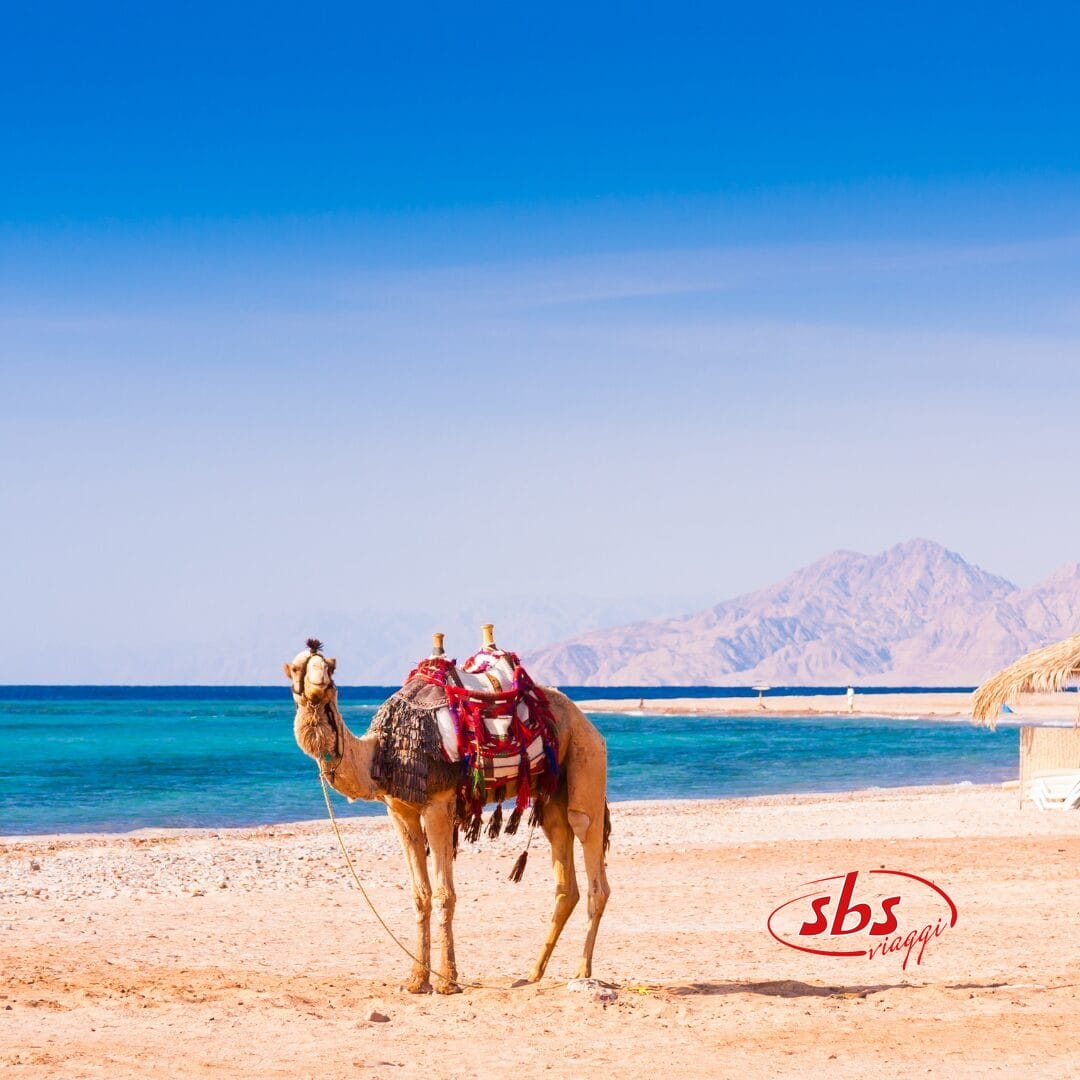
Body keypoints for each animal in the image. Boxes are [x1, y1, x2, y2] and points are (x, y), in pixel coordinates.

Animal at [282, 630, 613, 993]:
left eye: (328, 668)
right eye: (298, 668)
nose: (319, 683)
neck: (381, 752)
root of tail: (584, 719)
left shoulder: (437, 805)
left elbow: (444, 894)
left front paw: (447, 980)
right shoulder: (400, 811)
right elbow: (419, 894)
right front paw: (416, 979)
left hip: (586, 756)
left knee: (590, 850)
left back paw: (582, 972)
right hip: (552, 792)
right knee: (565, 877)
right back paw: (532, 973)